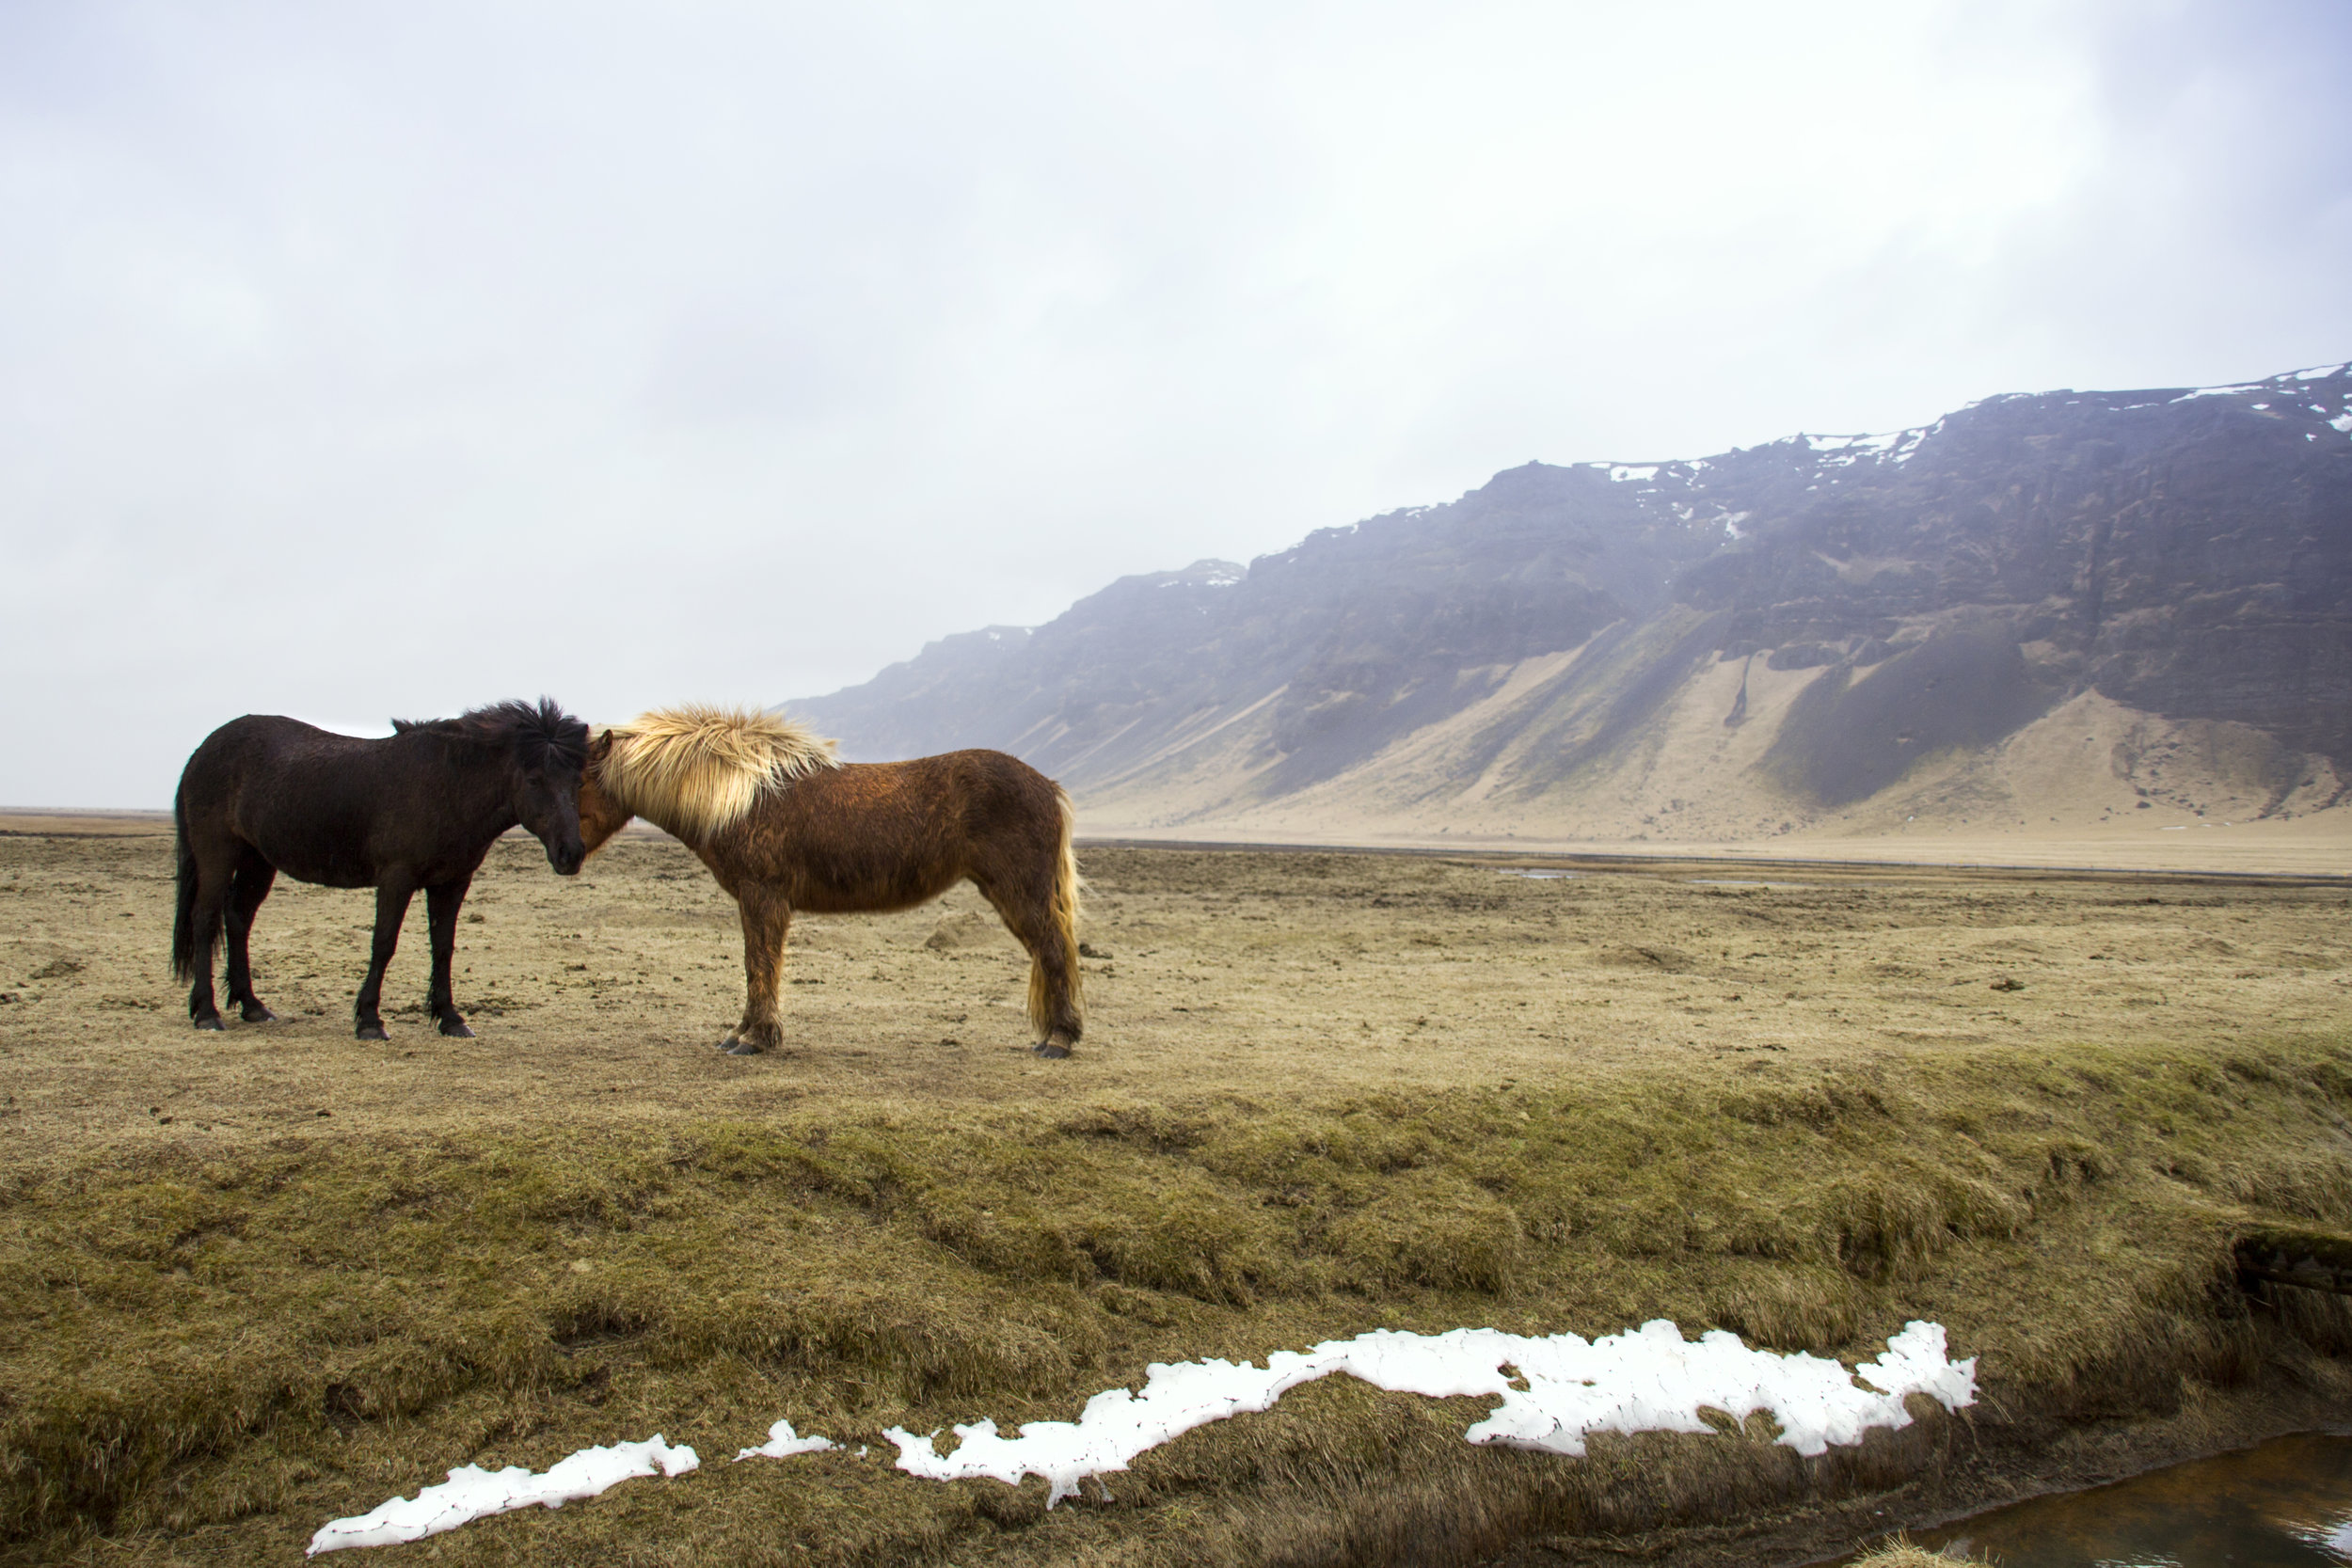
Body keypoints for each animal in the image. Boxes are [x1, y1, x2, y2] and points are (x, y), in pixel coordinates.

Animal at [172, 698, 591, 1039]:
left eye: (577, 781)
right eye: (534, 780)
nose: (570, 854)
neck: (447, 786)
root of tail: (203, 751)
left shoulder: (452, 883)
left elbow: (443, 947)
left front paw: (450, 1018)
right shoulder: (396, 879)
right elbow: (384, 943)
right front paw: (370, 1020)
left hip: (257, 860)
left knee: (238, 918)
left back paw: (252, 1005)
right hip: (217, 853)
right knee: (205, 918)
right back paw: (207, 1013)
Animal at [575, 706, 1084, 1058]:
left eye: (578, 781)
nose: (566, 856)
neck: (743, 797)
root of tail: (1048, 786)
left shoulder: (762, 897)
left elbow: (760, 963)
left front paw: (756, 1038)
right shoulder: (755, 900)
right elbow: (755, 965)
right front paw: (742, 1032)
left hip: (1021, 892)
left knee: (1053, 950)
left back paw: (1059, 1040)